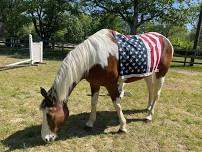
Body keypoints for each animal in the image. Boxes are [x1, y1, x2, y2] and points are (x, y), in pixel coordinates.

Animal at [39, 28, 174, 142]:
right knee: (150, 89)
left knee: (156, 94)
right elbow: (93, 103)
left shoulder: (112, 85)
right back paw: (148, 107)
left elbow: (117, 105)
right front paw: (90, 123)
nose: (45, 138)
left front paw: (122, 127)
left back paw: (149, 116)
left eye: (49, 115)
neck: (93, 57)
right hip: (148, 73)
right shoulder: (94, 84)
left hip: (161, 74)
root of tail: (165, 39)